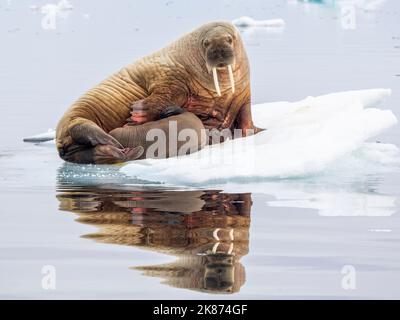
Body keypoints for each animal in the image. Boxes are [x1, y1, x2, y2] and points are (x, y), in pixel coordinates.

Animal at [55, 21, 260, 164]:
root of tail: (60, 145)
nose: (219, 51)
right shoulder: (169, 76)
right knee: (81, 128)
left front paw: (254, 131)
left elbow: (246, 118)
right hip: (75, 118)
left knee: (91, 151)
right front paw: (137, 115)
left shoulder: (243, 95)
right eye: (206, 43)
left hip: (80, 147)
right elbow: (165, 93)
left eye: (229, 39)